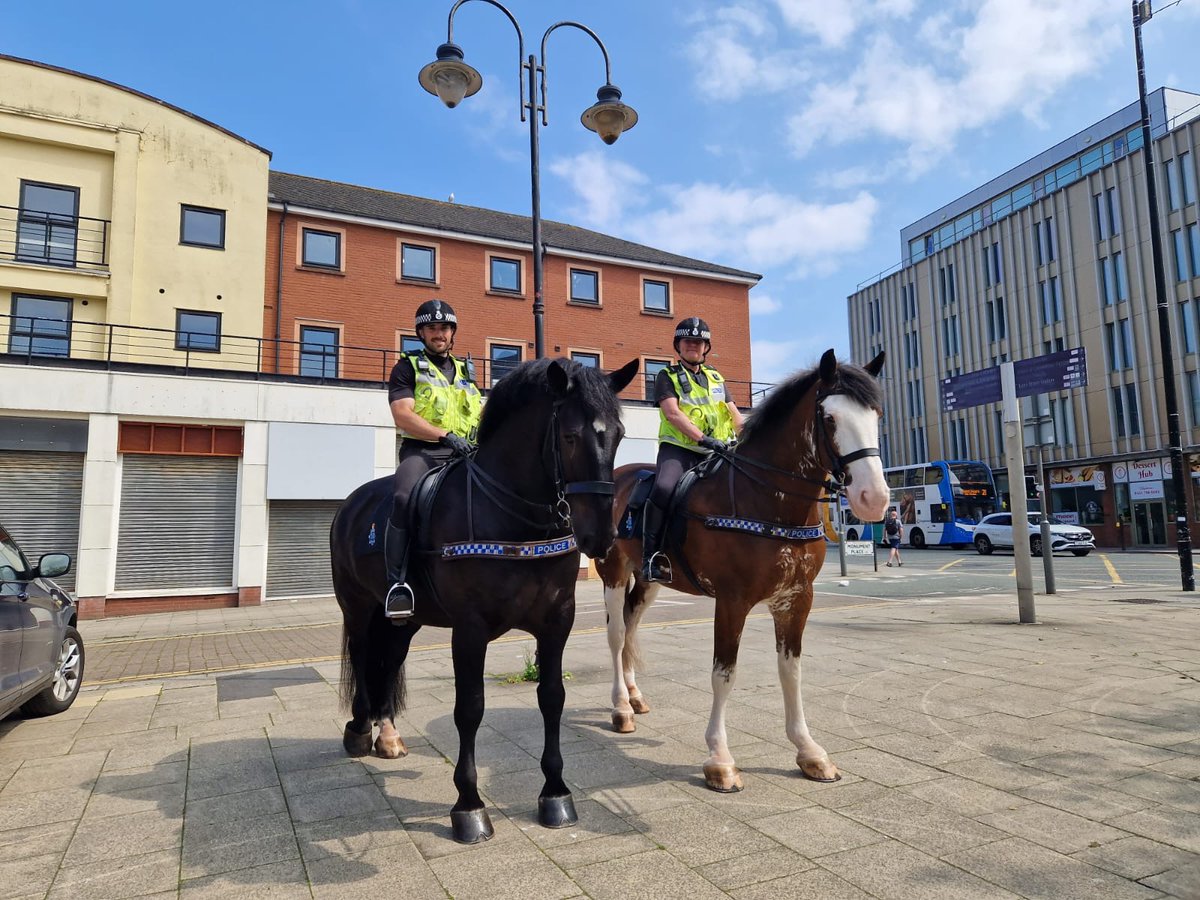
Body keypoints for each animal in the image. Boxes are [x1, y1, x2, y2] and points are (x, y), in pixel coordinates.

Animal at [331, 355, 638, 844]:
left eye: (619, 435)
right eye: (570, 436)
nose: (601, 537)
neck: (516, 517)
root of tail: (351, 504)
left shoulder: (558, 621)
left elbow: (552, 697)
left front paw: (555, 792)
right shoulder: (470, 630)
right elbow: (470, 708)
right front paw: (469, 805)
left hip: (405, 620)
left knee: (390, 661)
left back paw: (388, 735)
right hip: (358, 608)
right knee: (363, 660)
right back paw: (360, 730)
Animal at [595, 348, 888, 792]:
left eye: (876, 415)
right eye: (830, 418)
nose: (875, 498)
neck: (766, 500)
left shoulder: (796, 599)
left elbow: (791, 672)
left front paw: (809, 751)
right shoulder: (732, 601)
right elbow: (724, 674)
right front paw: (720, 759)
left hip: (648, 581)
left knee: (630, 626)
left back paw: (634, 696)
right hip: (613, 572)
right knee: (614, 636)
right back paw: (620, 708)